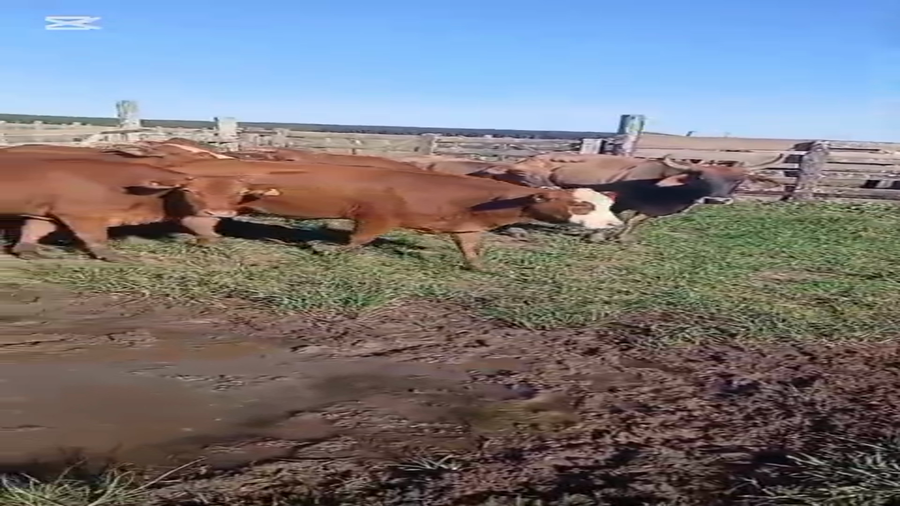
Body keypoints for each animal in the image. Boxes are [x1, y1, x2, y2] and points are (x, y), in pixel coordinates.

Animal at [0, 156, 280, 261]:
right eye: (193, 191)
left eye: (239, 193)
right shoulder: (82, 214)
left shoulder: (47, 212)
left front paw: (26, 250)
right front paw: (112, 256)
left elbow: (33, 230)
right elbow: (96, 238)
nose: (220, 213)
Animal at [477, 152, 786, 242]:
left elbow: (636, 222)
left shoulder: (649, 210)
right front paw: (598, 236)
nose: (717, 200)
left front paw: (623, 238)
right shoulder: (621, 200)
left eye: (738, 180)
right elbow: (621, 218)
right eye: (701, 177)